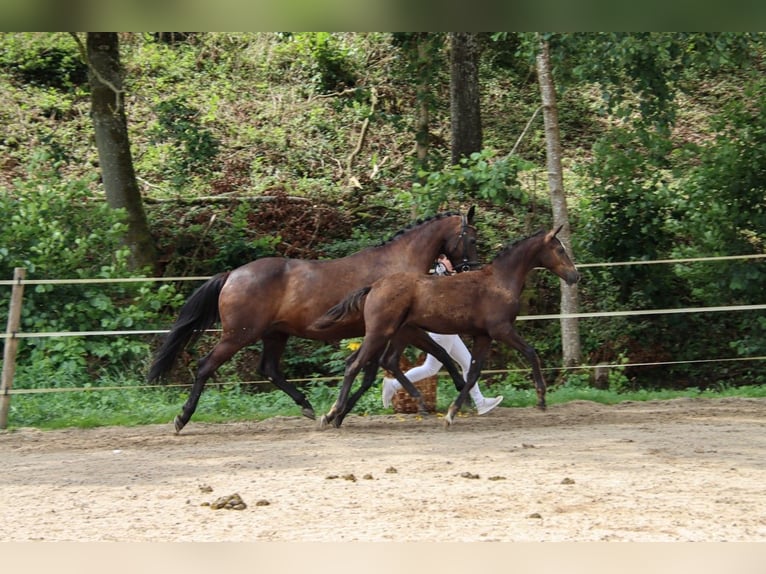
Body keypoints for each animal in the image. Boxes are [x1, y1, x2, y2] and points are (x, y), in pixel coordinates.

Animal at [147, 207, 476, 432]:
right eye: (471, 238)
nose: (470, 268)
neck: (398, 266)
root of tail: (232, 275)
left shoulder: (386, 333)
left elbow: (373, 372)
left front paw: (339, 413)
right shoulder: (403, 330)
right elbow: (437, 354)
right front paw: (458, 395)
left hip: (275, 334)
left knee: (269, 369)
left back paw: (306, 406)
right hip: (238, 335)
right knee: (206, 367)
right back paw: (182, 418)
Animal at [316, 227, 580, 430]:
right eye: (559, 249)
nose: (574, 276)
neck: (500, 281)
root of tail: (374, 286)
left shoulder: (483, 336)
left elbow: (472, 373)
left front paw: (452, 413)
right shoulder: (501, 330)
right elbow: (531, 353)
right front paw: (541, 399)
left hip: (395, 333)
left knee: (381, 362)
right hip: (381, 333)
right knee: (355, 365)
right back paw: (331, 414)